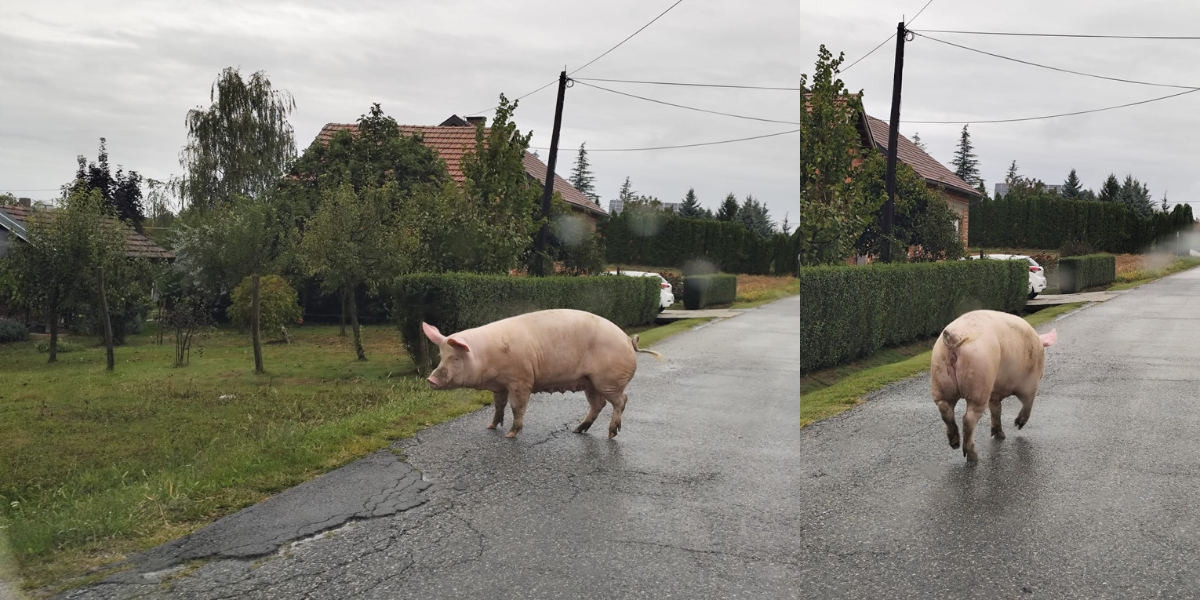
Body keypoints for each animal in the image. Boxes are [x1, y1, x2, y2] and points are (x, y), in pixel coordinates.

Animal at [422, 312, 667, 439]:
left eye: (455, 358)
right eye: (441, 355)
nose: (430, 379)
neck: (487, 357)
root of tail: (628, 340)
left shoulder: (520, 381)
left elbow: (517, 407)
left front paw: (511, 434)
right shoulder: (499, 386)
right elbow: (498, 406)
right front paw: (491, 427)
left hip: (608, 381)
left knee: (622, 400)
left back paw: (611, 433)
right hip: (590, 382)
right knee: (598, 405)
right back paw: (578, 430)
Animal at [926, 312, 1060, 460]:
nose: (1016, 427)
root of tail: (953, 337)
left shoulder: (994, 392)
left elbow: (996, 409)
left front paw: (1000, 436)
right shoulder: (1031, 382)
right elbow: (1027, 403)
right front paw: (1017, 425)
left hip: (940, 380)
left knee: (945, 409)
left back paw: (955, 444)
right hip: (980, 385)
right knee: (968, 418)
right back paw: (972, 456)